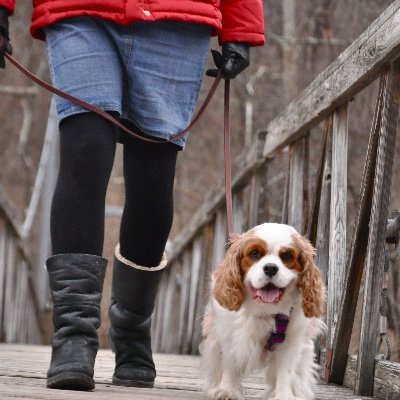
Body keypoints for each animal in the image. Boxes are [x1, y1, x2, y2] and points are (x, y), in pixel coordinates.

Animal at [202, 222, 326, 400]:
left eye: (287, 256)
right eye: (254, 253)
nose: (270, 268)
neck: (265, 310)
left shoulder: (291, 341)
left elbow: (286, 371)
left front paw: (284, 395)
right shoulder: (230, 335)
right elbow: (230, 363)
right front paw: (226, 390)